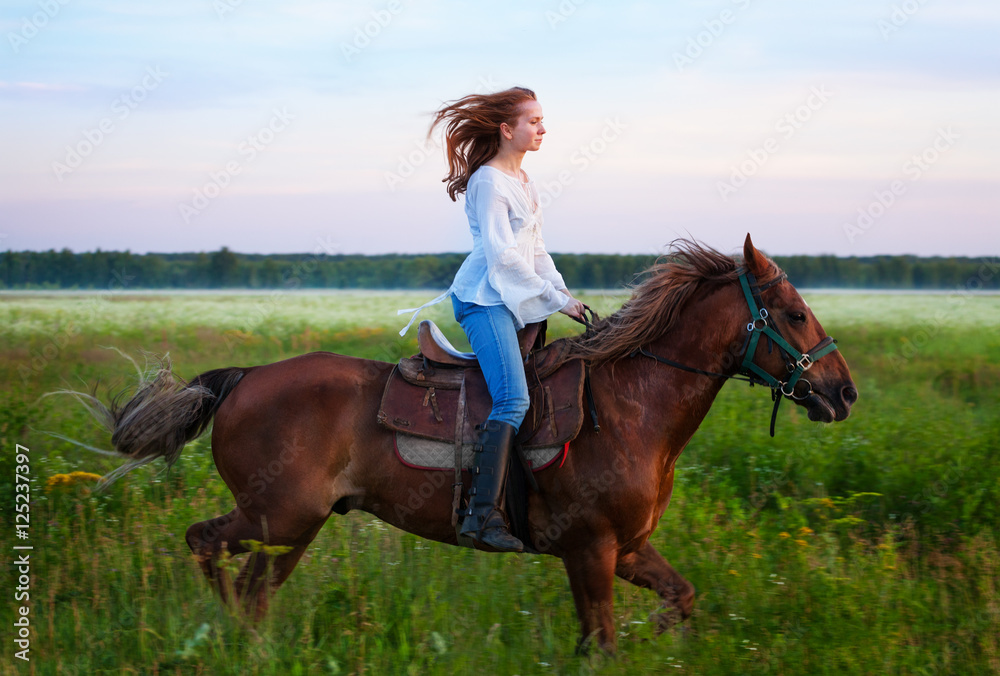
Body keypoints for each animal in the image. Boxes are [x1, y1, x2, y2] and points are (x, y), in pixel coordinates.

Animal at [88, 235, 852, 652]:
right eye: (793, 313)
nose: (843, 393)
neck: (630, 409)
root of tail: (244, 378)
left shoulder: (627, 549)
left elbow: (680, 598)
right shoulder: (591, 551)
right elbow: (601, 643)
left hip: (293, 527)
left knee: (252, 588)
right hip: (278, 517)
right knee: (206, 546)